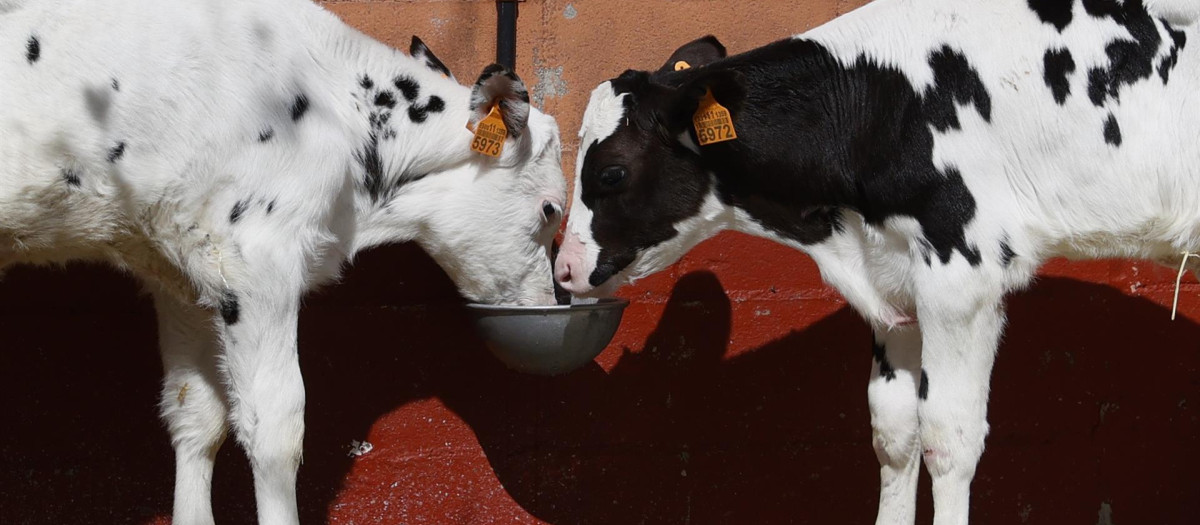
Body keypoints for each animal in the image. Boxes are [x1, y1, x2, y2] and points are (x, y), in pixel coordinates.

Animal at [2, 1, 564, 525]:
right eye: (552, 209)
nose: (547, 298)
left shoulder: (181, 272)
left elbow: (195, 413)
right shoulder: (256, 259)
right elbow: (275, 428)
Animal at [556, 1, 1195, 525]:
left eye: (610, 173)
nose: (563, 269)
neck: (875, 107)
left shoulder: (962, 277)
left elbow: (949, 440)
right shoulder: (897, 287)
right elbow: (894, 433)